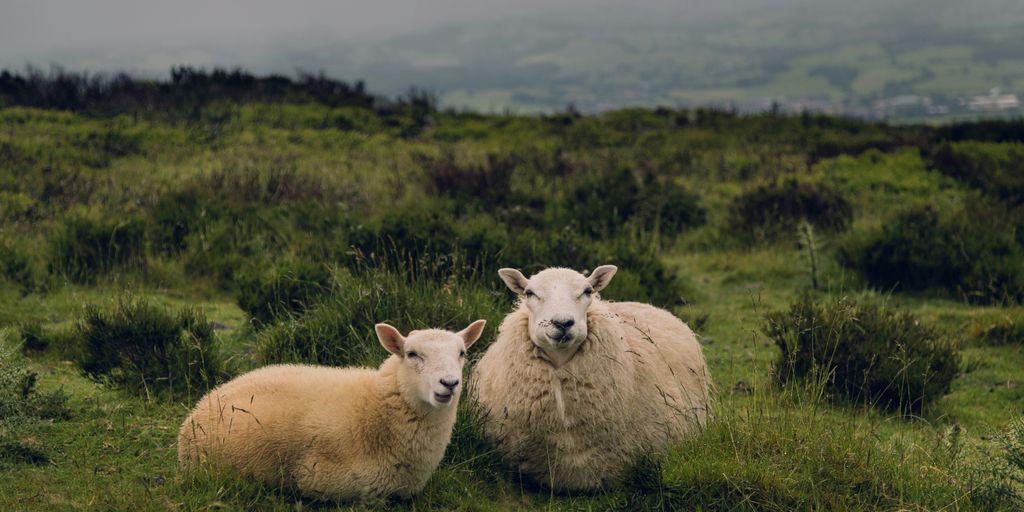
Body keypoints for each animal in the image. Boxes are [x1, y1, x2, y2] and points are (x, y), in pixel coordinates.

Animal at [178, 317, 485, 501]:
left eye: (462, 353)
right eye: (412, 354)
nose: (449, 383)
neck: (377, 408)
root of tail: (205, 401)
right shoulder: (328, 481)